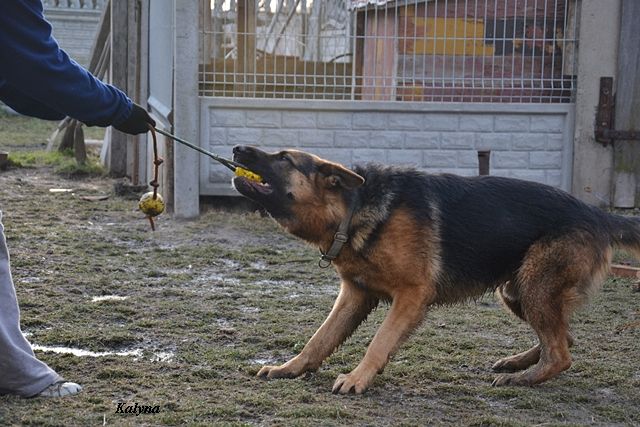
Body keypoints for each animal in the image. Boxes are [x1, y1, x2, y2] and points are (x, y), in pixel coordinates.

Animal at [231, 145, 639, 394]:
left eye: (284, 158)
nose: (237, 149)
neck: (354, 208)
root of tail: (597, 215)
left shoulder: (411, 297)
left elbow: (379, 342)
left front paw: (358, 378)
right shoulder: (355, 296)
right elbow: (319, 339)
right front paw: (290, 368)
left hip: (533, 286)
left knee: (561, 352)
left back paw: (523, 379)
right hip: (516, 291)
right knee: (563, 338)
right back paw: (518, 364)